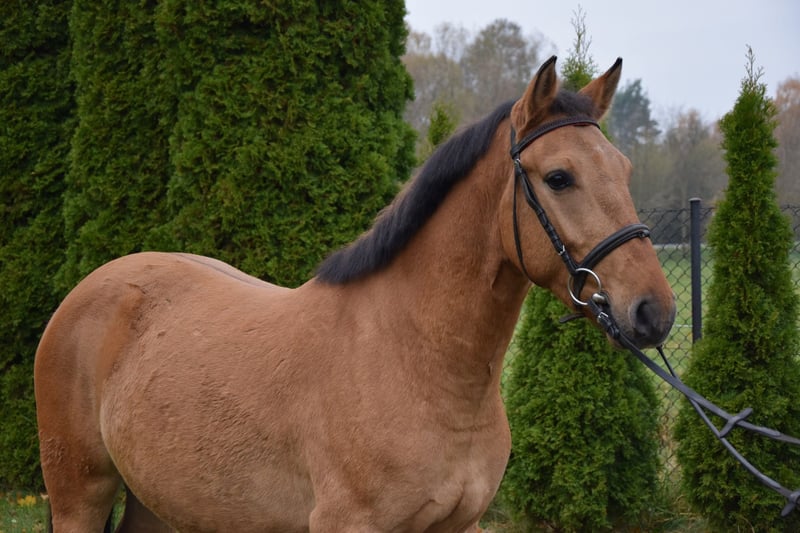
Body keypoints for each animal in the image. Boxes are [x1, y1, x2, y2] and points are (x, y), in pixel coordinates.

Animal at [35, 56, 676, 532]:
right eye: (559, 178)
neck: (417, 359)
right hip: (79, 495)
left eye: (623, 169)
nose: (654, 312)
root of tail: (92, 289)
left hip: (163, 502)